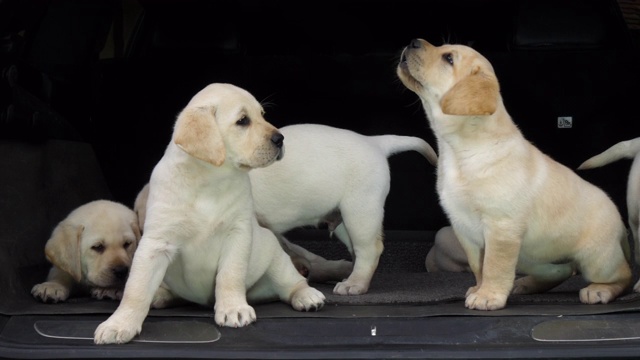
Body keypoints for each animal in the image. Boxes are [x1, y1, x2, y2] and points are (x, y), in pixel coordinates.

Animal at [94, 83, 324, 344]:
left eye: (263, 115)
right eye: (243, 121)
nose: (280, 139)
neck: (209, 179)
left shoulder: (238, 233)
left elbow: (230, 275)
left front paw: (233, 308)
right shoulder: (156, 242)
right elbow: (136, 288)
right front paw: (119, 323)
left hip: (274, 257)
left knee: (293, 282)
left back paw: (307, 296)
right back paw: (160, 296)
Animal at [132, 124, 438, 296]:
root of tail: (375, 142)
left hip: (360, 209)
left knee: (369, 249)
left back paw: (355, 283)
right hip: (344, 221)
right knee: (358, 250)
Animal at [398, 38, 632, 310]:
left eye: (449, 58)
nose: (413, 42)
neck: (461, 150)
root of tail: (620, 223)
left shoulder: (501, 227)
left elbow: (494, 266)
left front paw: (489, 296)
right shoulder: (464, 228)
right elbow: (478, 267)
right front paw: (479, 289)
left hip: (595, 258)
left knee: (623, 275)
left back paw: (599, 290)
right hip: (536, 257)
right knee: (561, 271)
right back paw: (527, 285)